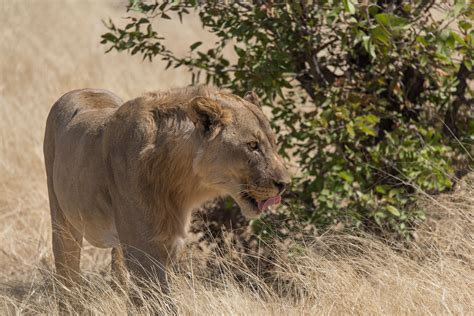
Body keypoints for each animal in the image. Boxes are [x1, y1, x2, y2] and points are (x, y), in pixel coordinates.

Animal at [43, 85, 288, 296]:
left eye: (274, 143)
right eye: (252, 145)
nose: (284, 183)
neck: (180, 184)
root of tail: (80, 89)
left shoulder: (168, 245)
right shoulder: (144, 252)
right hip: (63, 224)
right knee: (68, 279)